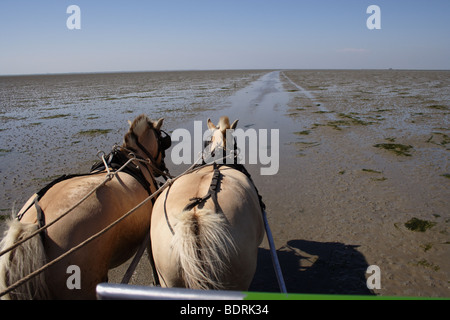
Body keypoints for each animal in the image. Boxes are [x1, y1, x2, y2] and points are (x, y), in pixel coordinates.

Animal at [0, 115, 169, 300]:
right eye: (162, 141)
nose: (162, 167)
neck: (135, 159)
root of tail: (35, 224)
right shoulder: (148, 233)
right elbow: (152, 261)